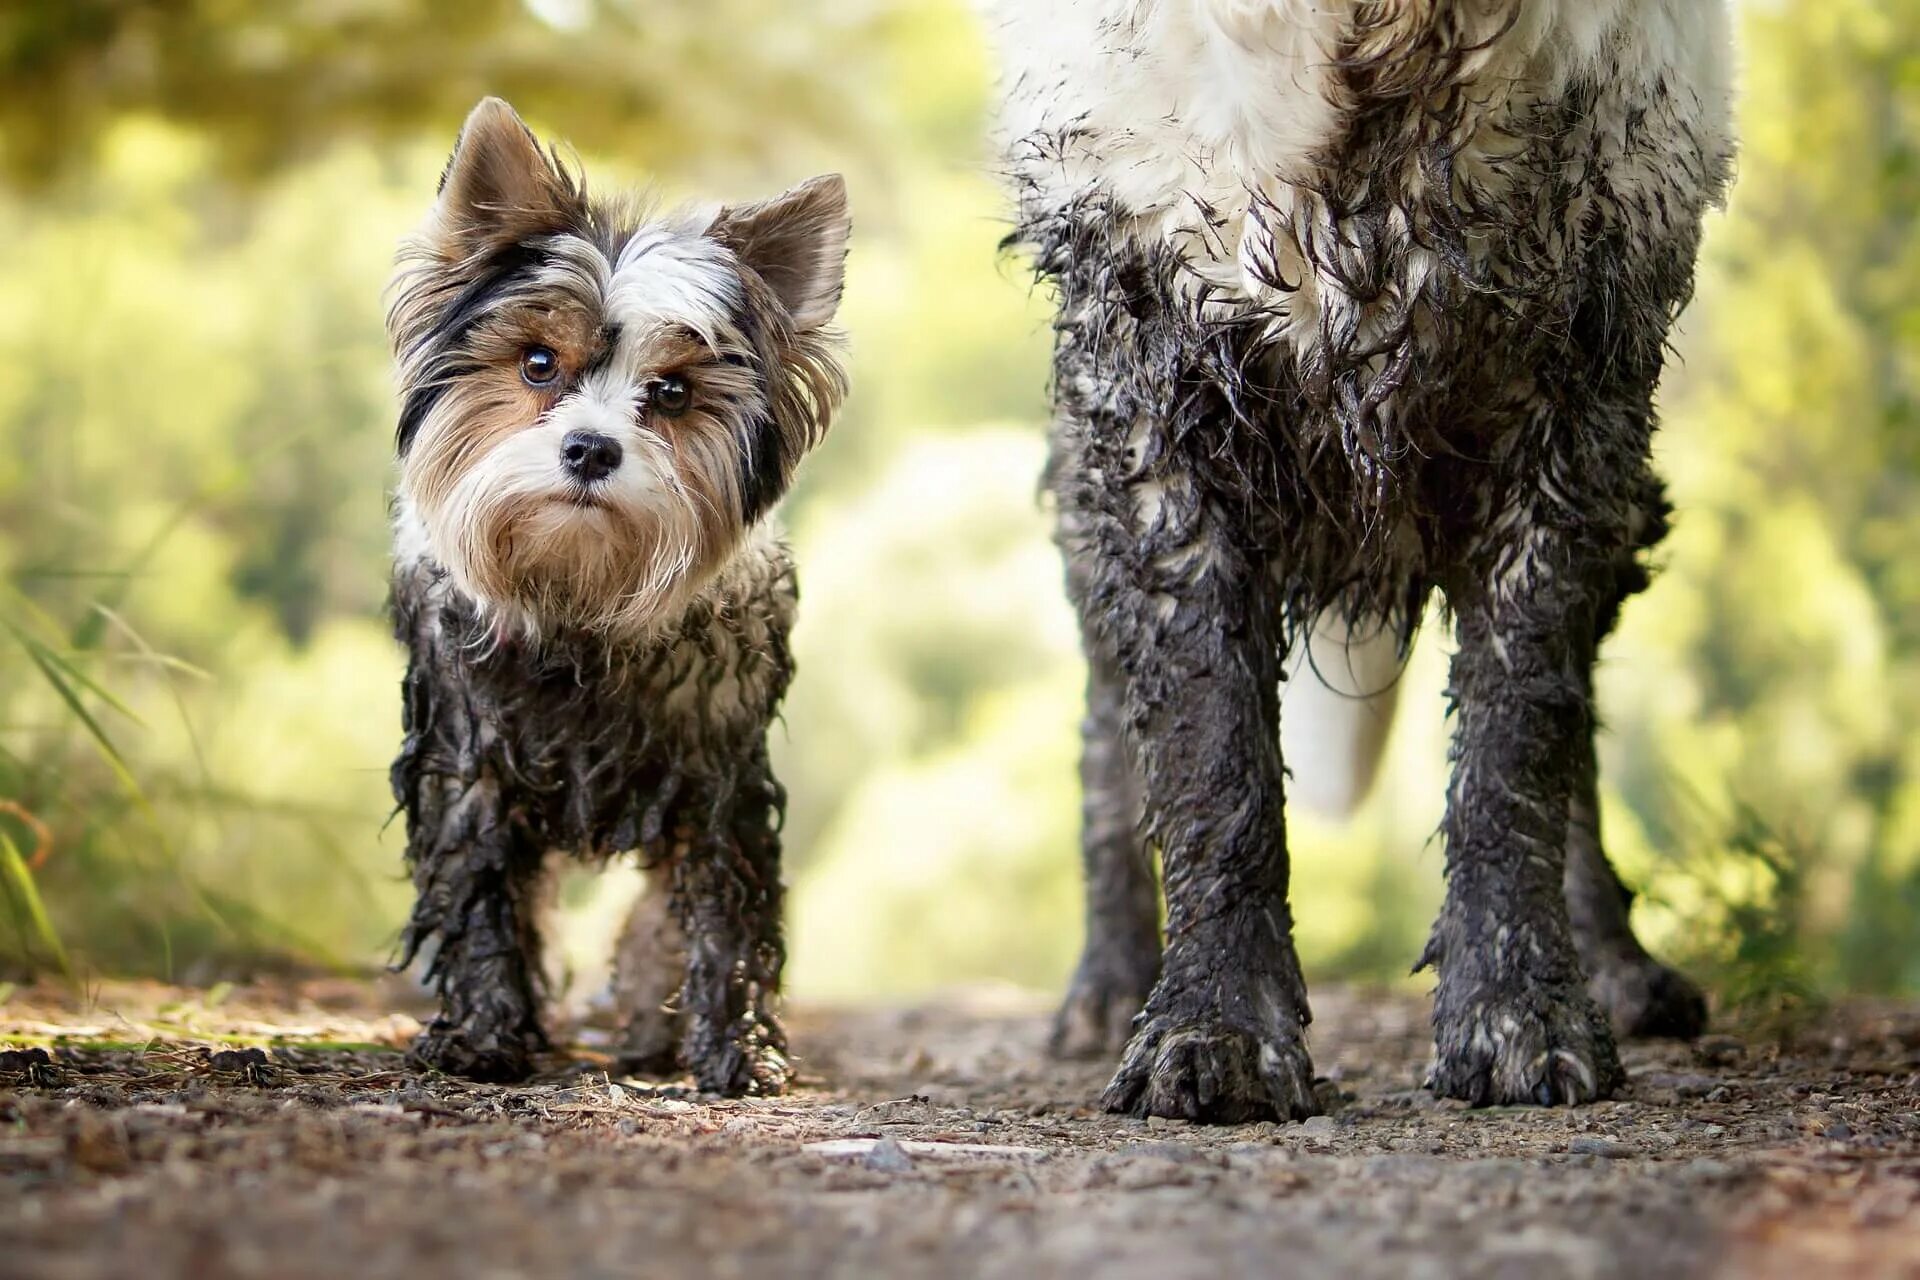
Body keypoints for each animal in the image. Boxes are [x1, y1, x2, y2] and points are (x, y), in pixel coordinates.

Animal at [382, 100, 848, 1097]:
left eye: (670, 392)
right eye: (537, 364)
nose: (590, 448)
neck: (578, 596)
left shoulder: (718, 776)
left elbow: (720, 910)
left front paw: (737, 1046)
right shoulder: (471, 763)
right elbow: (483, 897)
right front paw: (483, 1032)